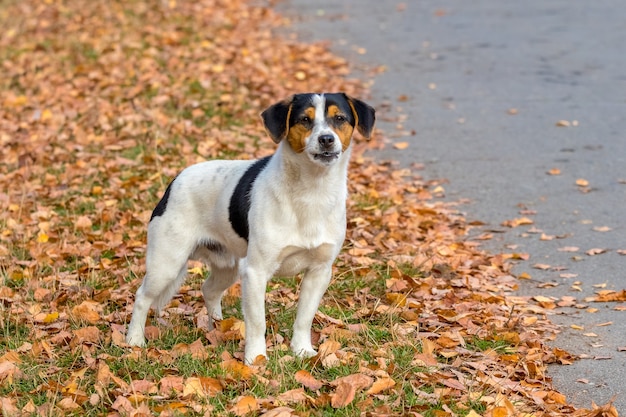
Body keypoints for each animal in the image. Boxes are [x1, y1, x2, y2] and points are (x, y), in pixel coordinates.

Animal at [124, 92, 372, 362]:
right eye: (305, 120)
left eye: (340, 118)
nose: (326, 139)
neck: (311, 192)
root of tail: (175, 181)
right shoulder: (255, 272)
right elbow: (257, 322)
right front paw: (255, 358)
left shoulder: (319, 272)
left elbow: (304, 318)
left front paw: (302, 350)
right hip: (167, 263)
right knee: (142, 297)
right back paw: (134, 340)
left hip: (228, 267)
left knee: (209, 290)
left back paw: (217, 327)